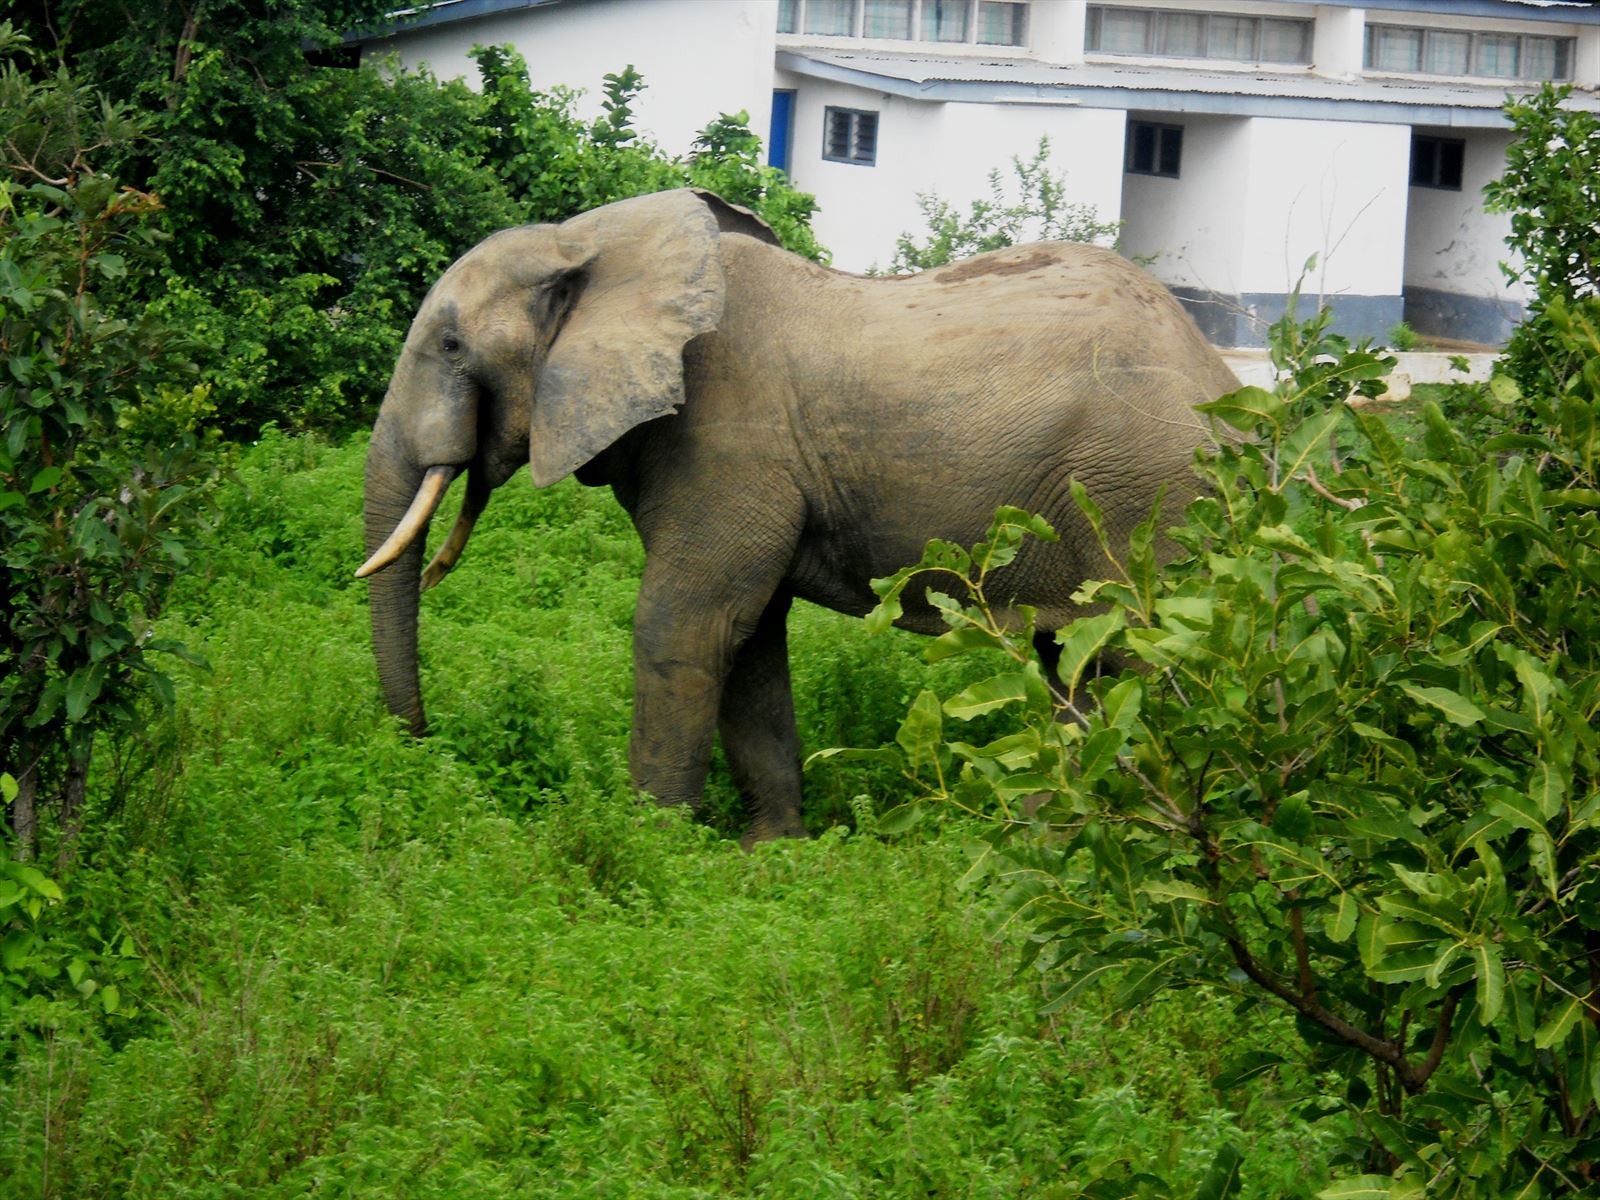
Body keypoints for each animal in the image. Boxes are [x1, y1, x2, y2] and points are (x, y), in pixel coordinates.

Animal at [360, 188, 1235, 844]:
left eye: (449, 347)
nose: (423, 746)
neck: (591, 242)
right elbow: (748, 638)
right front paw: (770, 853)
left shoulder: (727, 443)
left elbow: (685, 624)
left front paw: (647, 846)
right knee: (1075, 669)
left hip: (1147, 496)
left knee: (1140, 656)